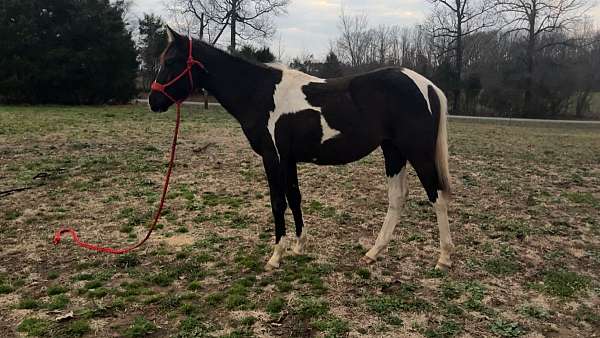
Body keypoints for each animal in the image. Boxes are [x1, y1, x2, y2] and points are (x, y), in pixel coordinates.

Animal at [151, 27, 454, 272]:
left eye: (171, 61)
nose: (153, 101)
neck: (259, 92)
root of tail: (427, 86)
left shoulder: (272, 158)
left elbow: (277, 202)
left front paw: (276, 256)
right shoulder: (288, 159)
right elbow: (295, 197)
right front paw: (299, 246)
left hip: (418, 153)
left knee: (437, 196)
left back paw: (443, 258)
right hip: (393, 152)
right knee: (397, 198)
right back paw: (373, 252)